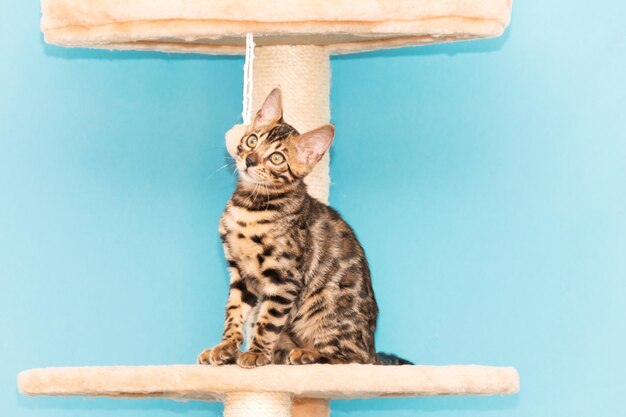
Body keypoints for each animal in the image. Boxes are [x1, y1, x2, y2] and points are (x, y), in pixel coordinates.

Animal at [197, 88, 408, 368]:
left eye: (277, 158)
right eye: (252, 140)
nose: (250, 160)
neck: (251, 205)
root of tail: (372, 348)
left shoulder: (284, 277)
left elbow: (267, 321)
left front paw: (255, 352)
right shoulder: (240, 274)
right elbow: (233, 312)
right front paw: (226, 347)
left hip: (326, 316)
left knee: (352, 359)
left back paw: (306, 354)